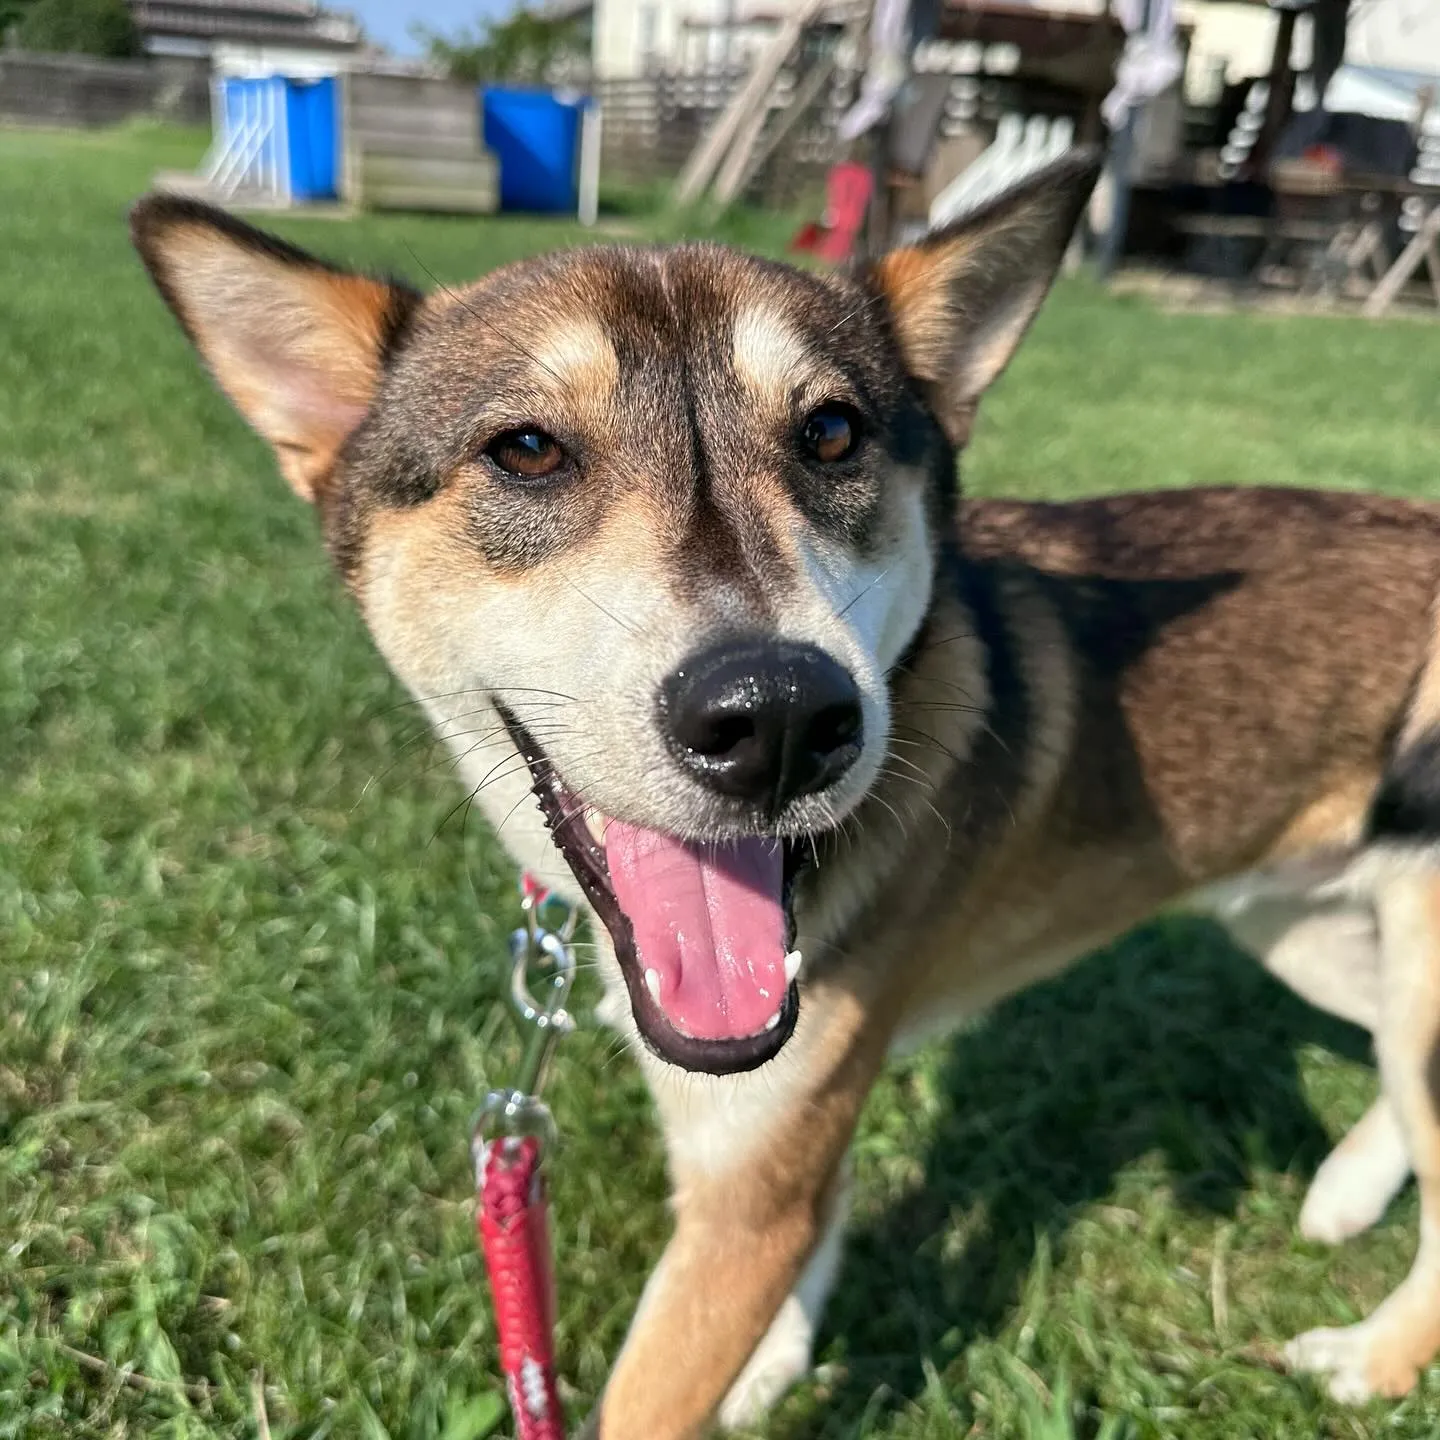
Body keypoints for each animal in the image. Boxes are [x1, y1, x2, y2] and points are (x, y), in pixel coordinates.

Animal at [129, 151, 1440, 1434]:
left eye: (833, 433)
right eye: (527, 450)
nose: (778, 719)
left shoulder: (751, 1180)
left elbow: (656, 1392)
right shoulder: (786, 1136)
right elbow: (820, 1221)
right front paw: (772, 1365)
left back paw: (1366, 1360)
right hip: (1308, 927)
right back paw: (1343, 1192)